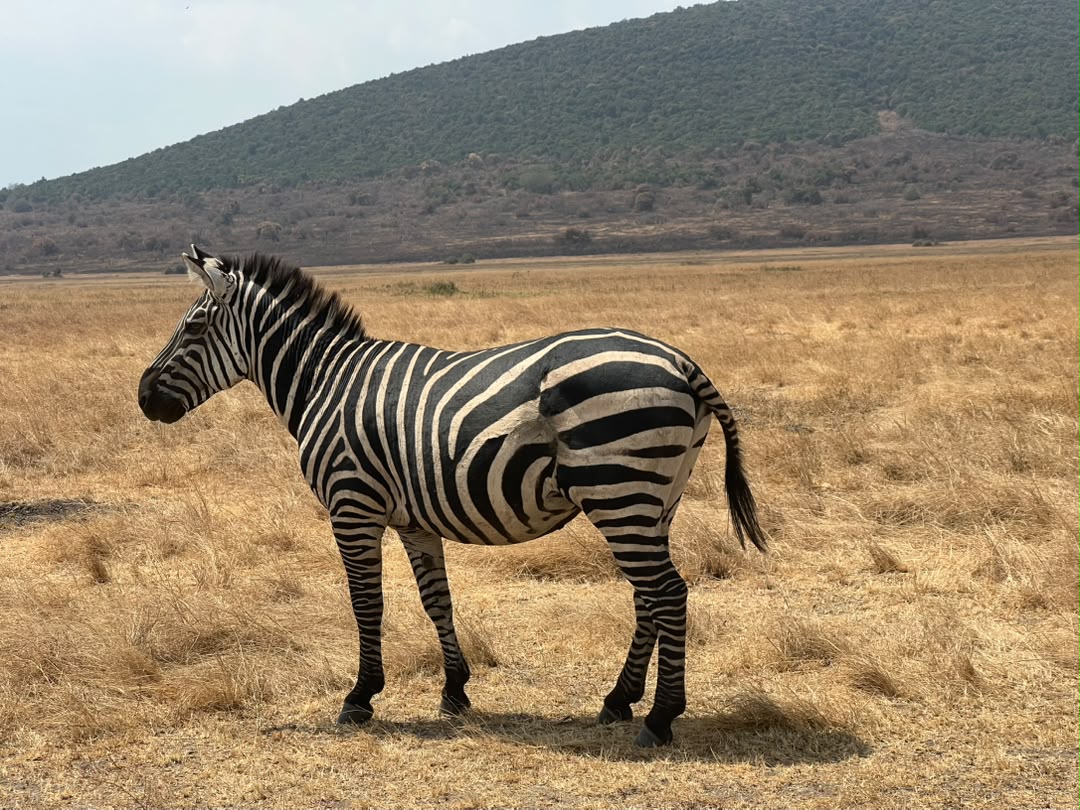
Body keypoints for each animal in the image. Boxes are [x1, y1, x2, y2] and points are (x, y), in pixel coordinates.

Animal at [138, 246, 767, 747]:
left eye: (193, 329)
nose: (144, 398)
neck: (324, 381)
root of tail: (680, 359)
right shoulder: (413, 518)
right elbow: (435, 599)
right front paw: (455, 690)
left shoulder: (351, 503)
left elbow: (367, 603)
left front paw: (360, 697)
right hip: (655, 497)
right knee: (647, 596)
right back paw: (618, 701)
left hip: (618, 488)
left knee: (668, 593)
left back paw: (659, 719)